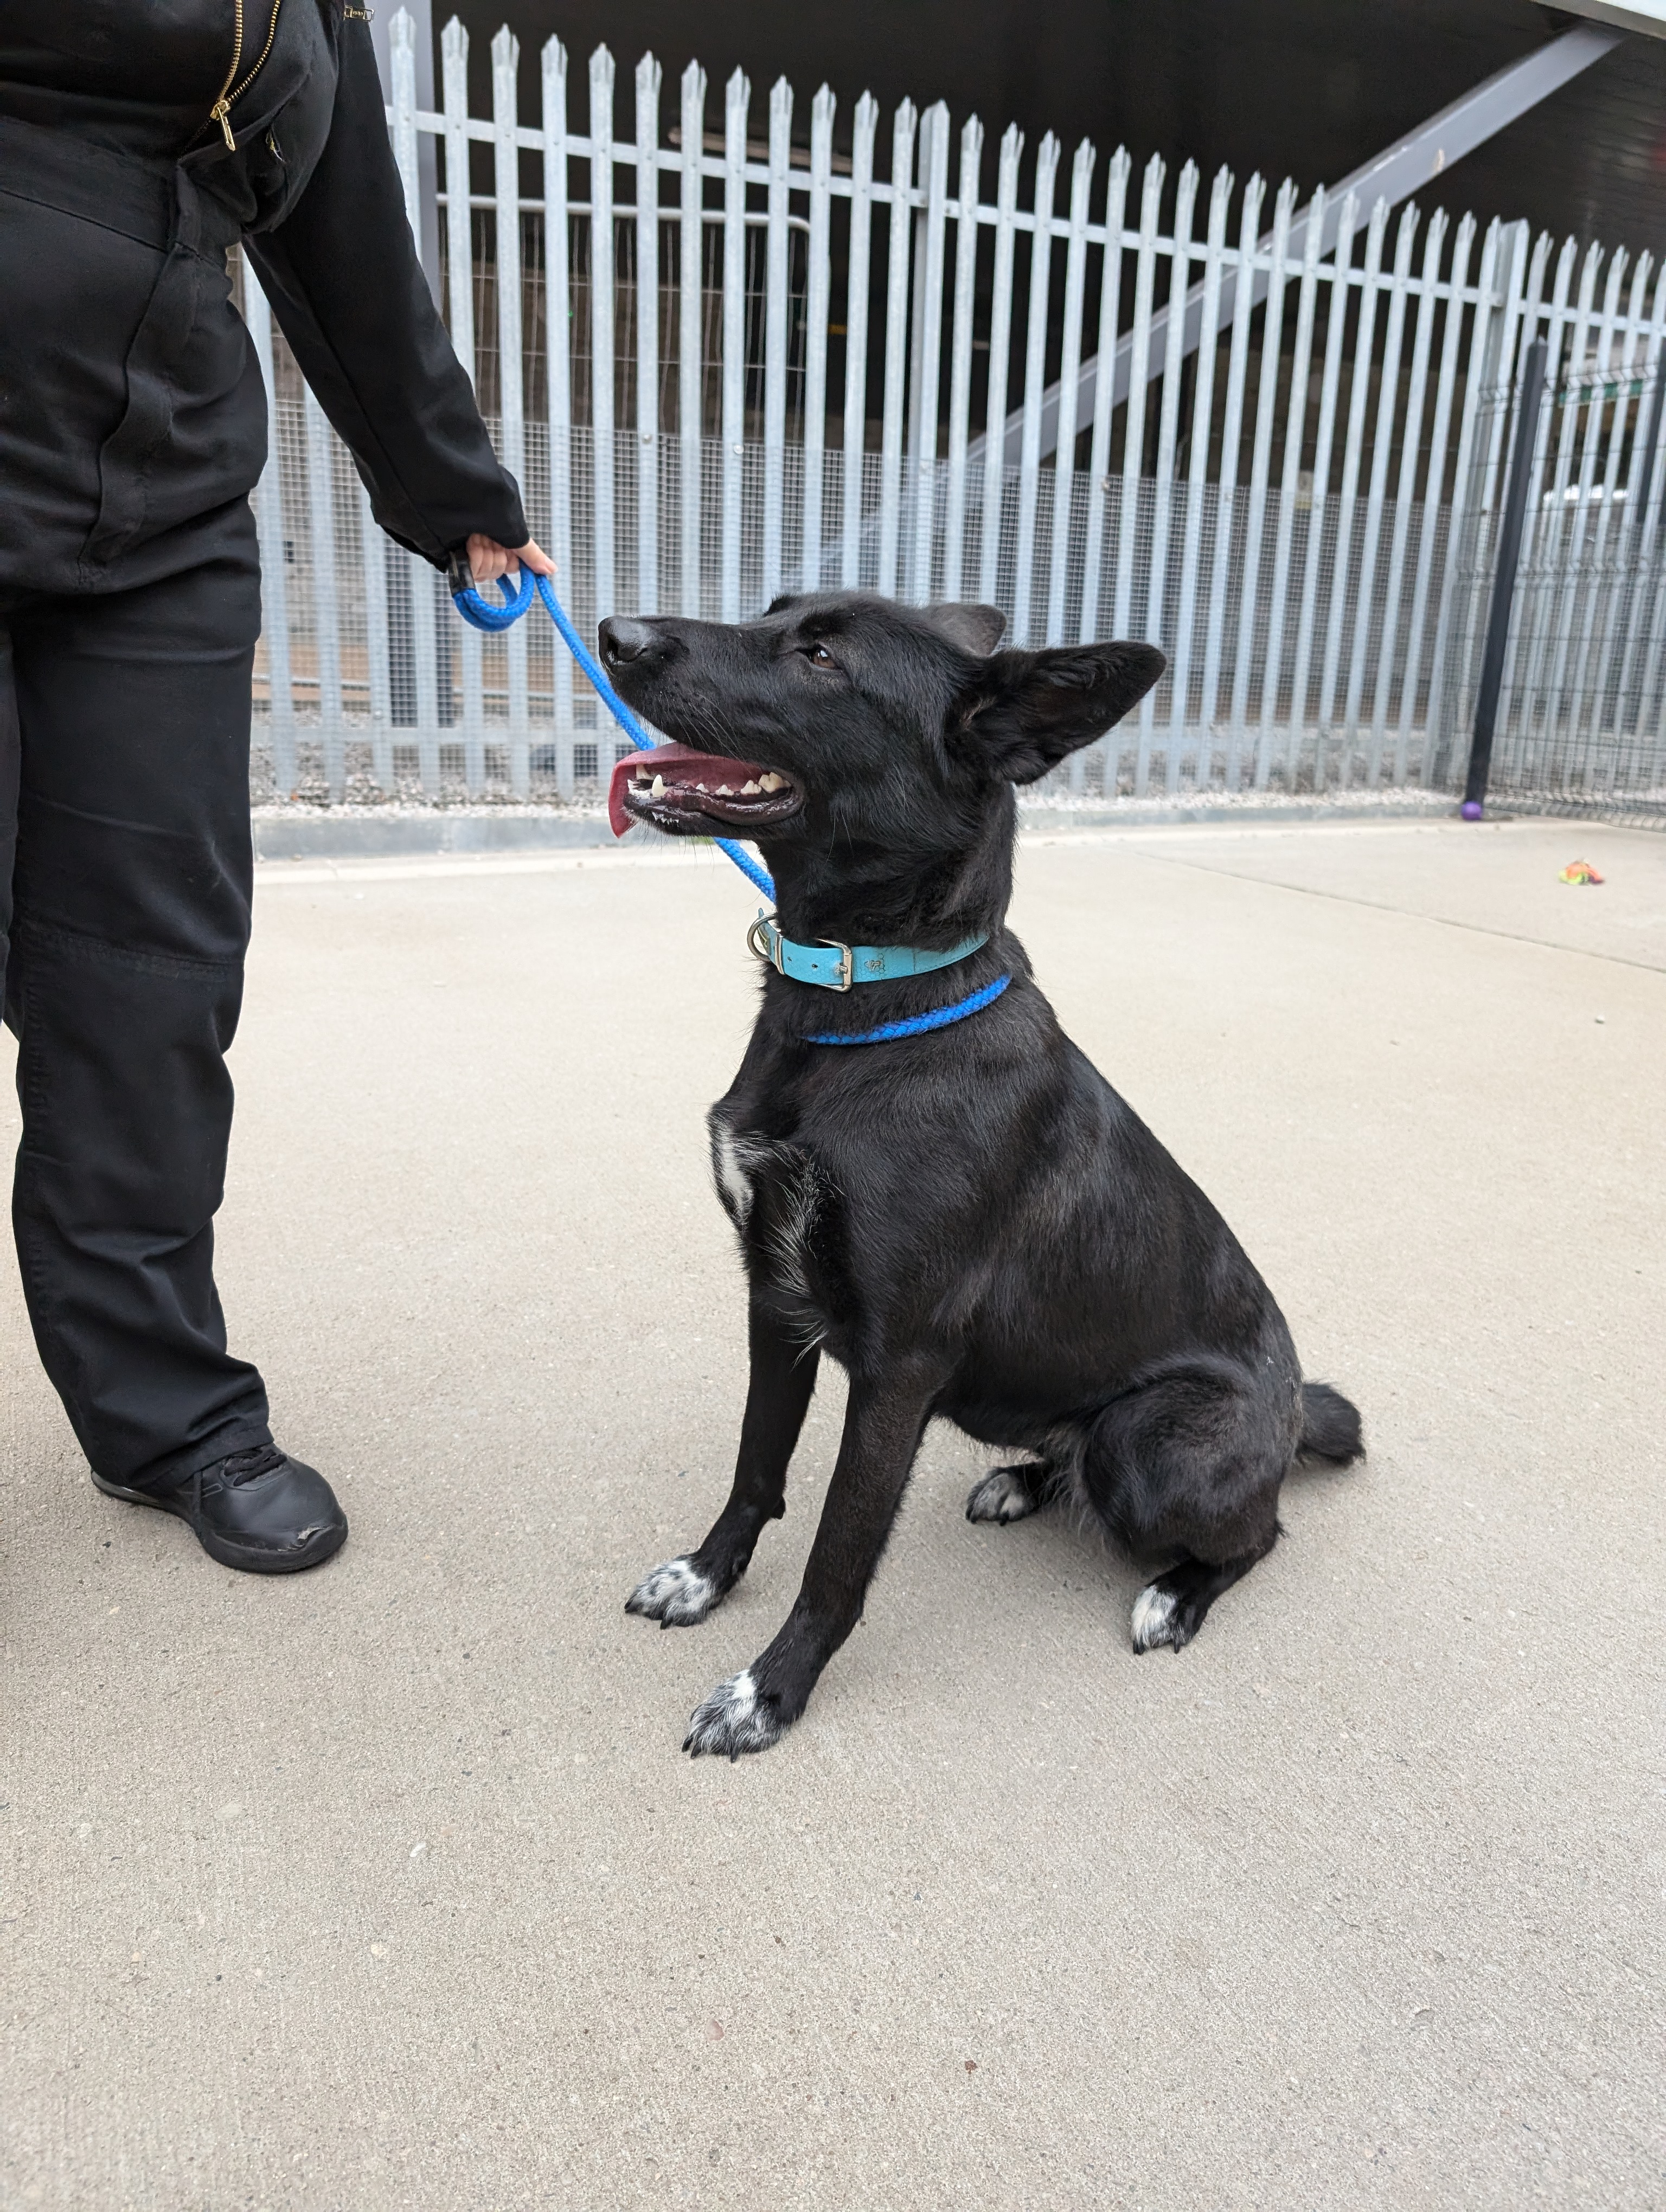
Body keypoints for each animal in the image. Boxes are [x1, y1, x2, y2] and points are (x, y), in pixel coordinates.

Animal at [606, 593, 1354, 1760]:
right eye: (776, 612)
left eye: (822, 656)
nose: (611, 634)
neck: (866, 1007)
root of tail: (1289, 1416)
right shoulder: (774, 1302)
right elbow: (755, 1468)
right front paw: (704, 1577)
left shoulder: (898, 1366)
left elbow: (839, 1552)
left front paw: (770, 1691)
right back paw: (1023, 1481)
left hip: (1148, 1445)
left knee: (1261, 1533)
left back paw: (1173, 1595)